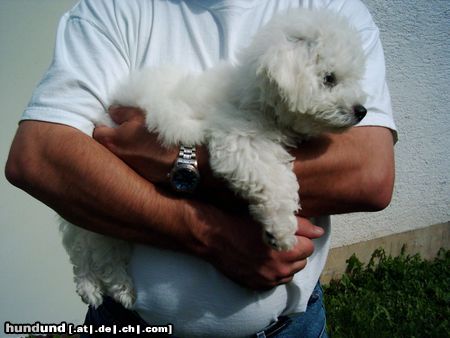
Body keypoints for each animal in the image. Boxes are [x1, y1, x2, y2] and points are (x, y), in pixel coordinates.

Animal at [59, 7, 368, 308]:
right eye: (329, 79)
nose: (362, 111)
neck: (256, 95)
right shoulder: (239, 140)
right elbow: (273, 179)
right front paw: (281, 229)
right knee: (88, 251)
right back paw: (96, 288)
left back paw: (117, 288)